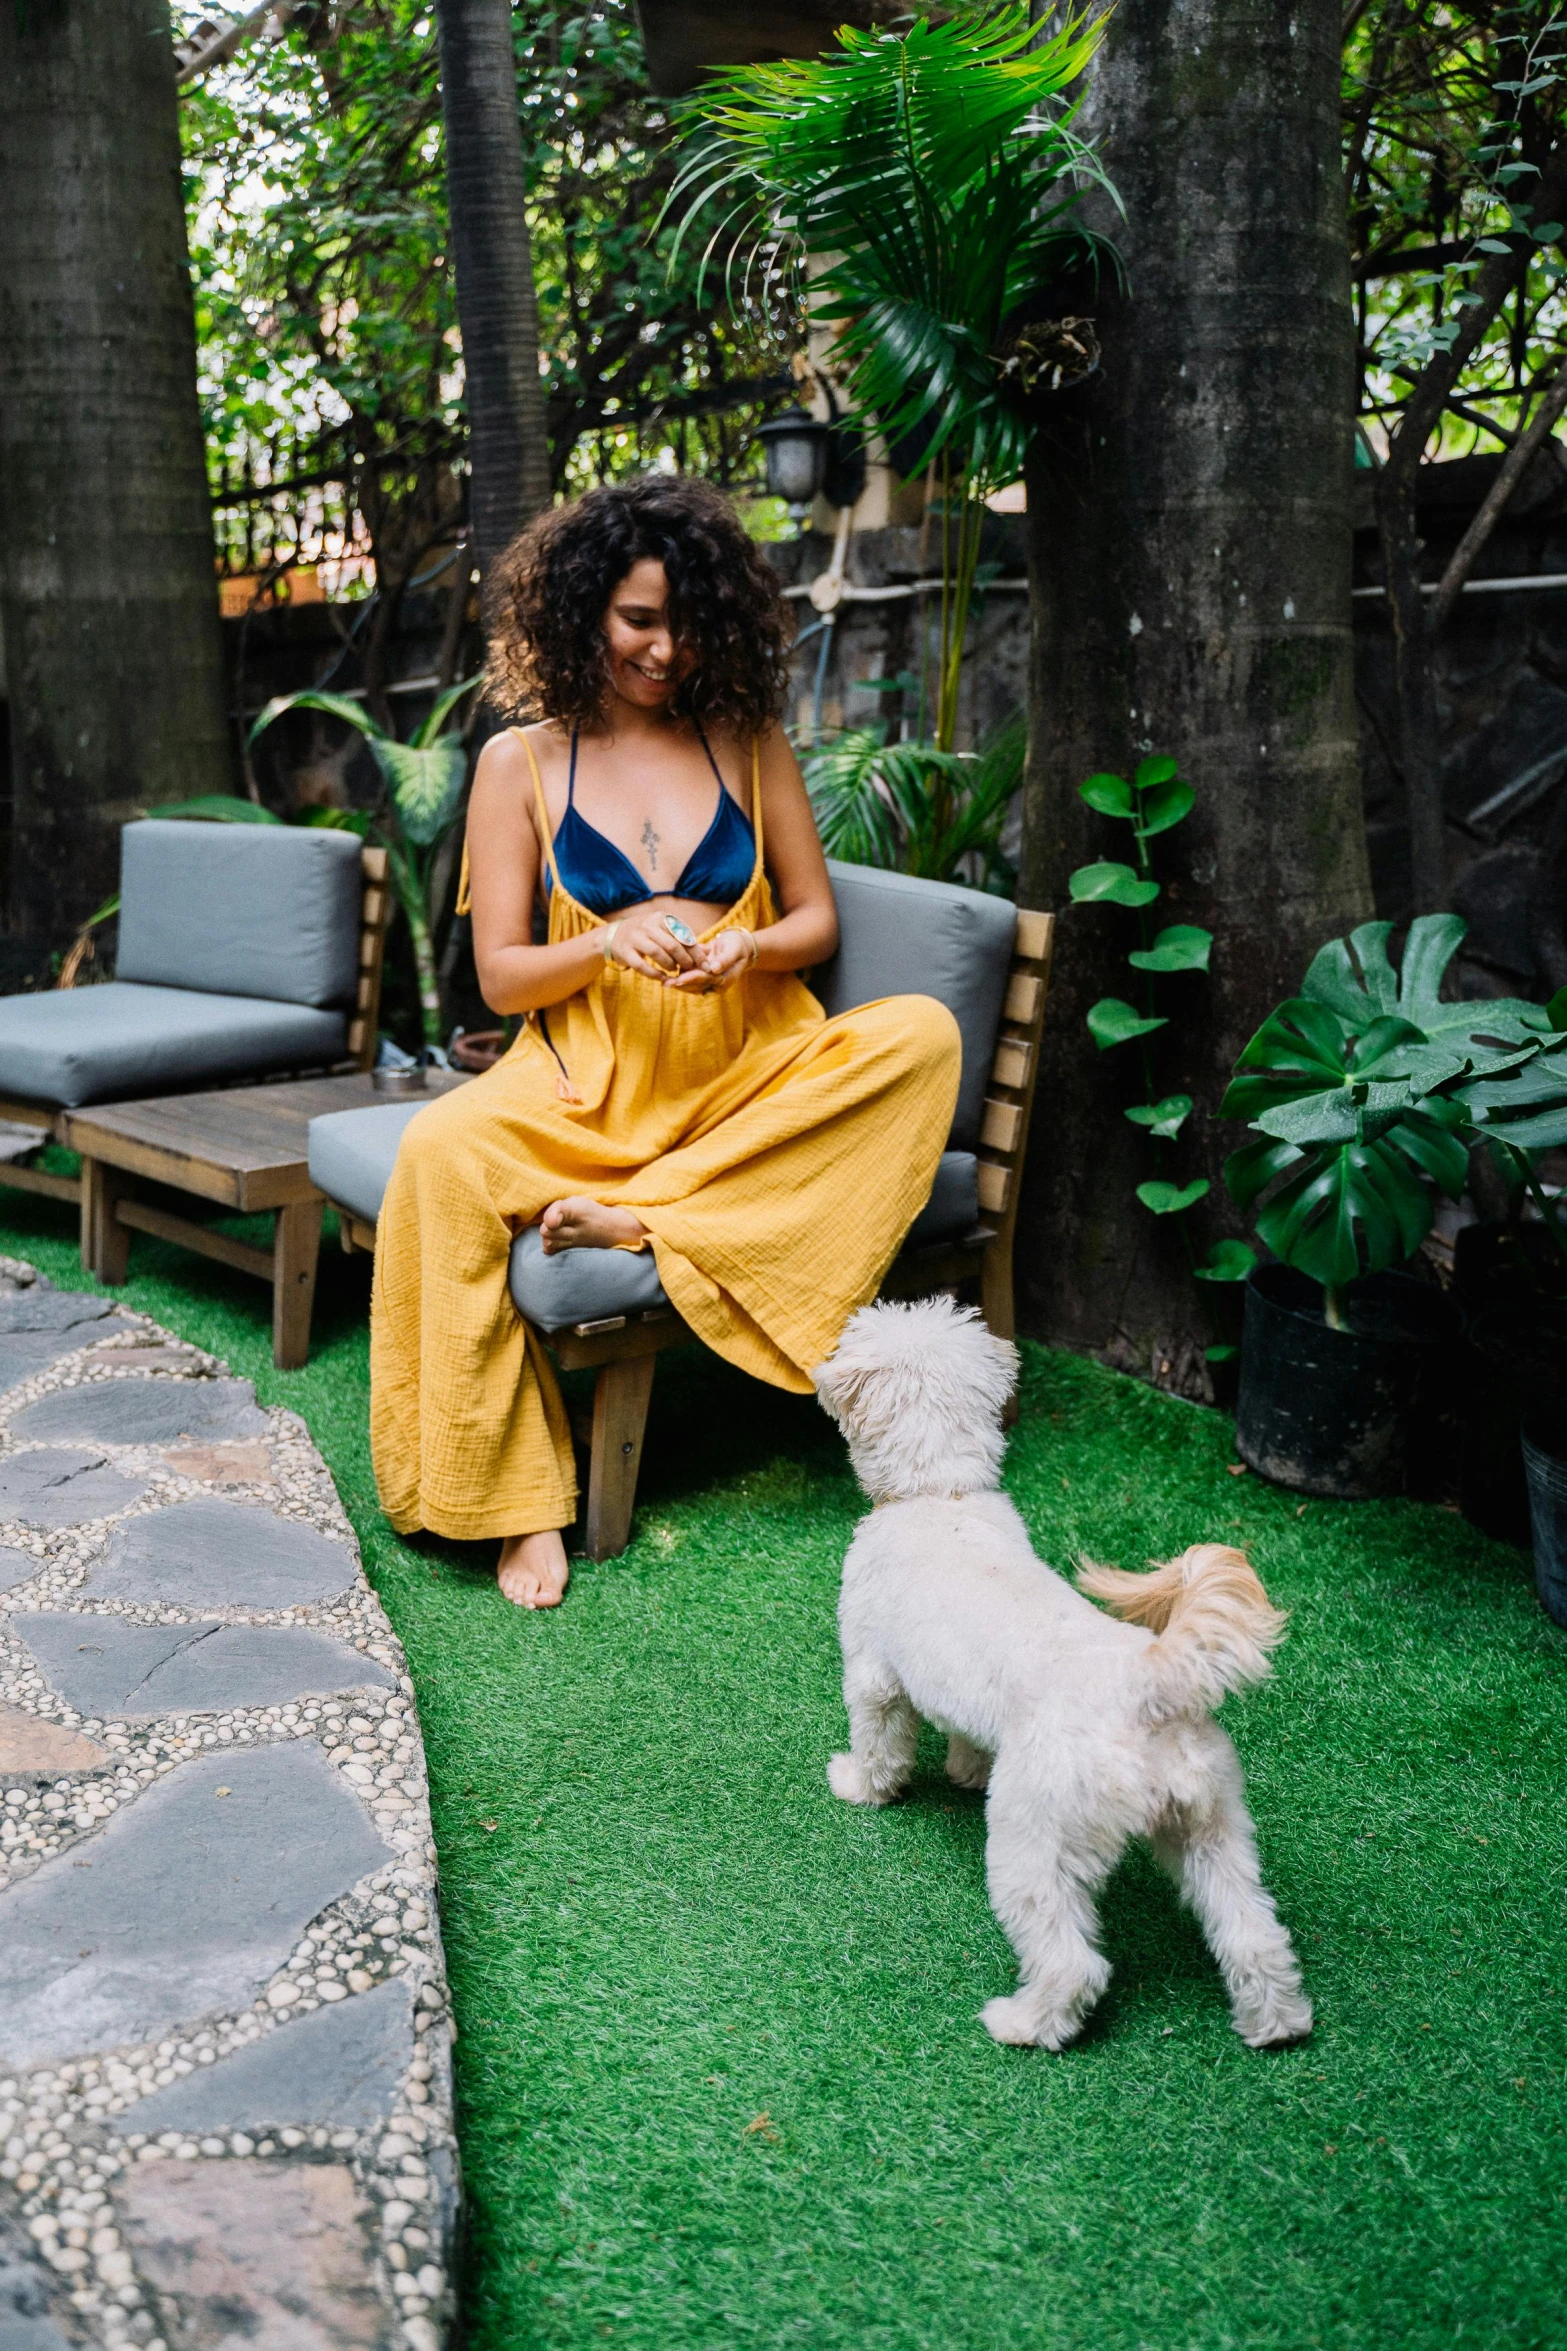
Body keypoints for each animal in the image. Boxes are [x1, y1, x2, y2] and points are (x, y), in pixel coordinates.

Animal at [817, 1297, 1315, 2050]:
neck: (943, 1495)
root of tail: (1148, 1681)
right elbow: (967, 1738)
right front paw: (964, 1770)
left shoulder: (873, 1670)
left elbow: (880, 1744)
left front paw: (858, 1785)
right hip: (1212, 1831)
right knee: (1256, 1938)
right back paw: (1276, 2026)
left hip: (1034, 1841)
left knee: (1074, 1962)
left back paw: (1023, 2023)